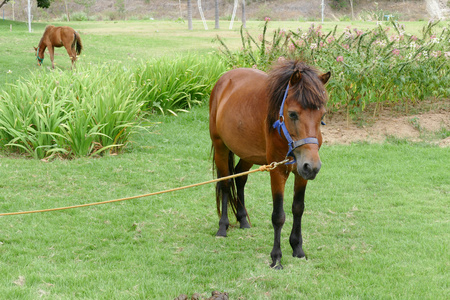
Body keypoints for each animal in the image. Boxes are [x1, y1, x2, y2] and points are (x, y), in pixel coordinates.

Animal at [208, 59, 330, 270]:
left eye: (322, 114)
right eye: (293, 114)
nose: (312, 166)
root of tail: (223, 79)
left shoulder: (301, 173)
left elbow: (298, 208)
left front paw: (298, 249)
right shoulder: (277, 171)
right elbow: (278, 215)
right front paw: (276, 258)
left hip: (248, 153)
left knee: (240, 178)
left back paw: (243, 220)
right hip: (220, 147)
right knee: (225, 183)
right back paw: (223, 227)